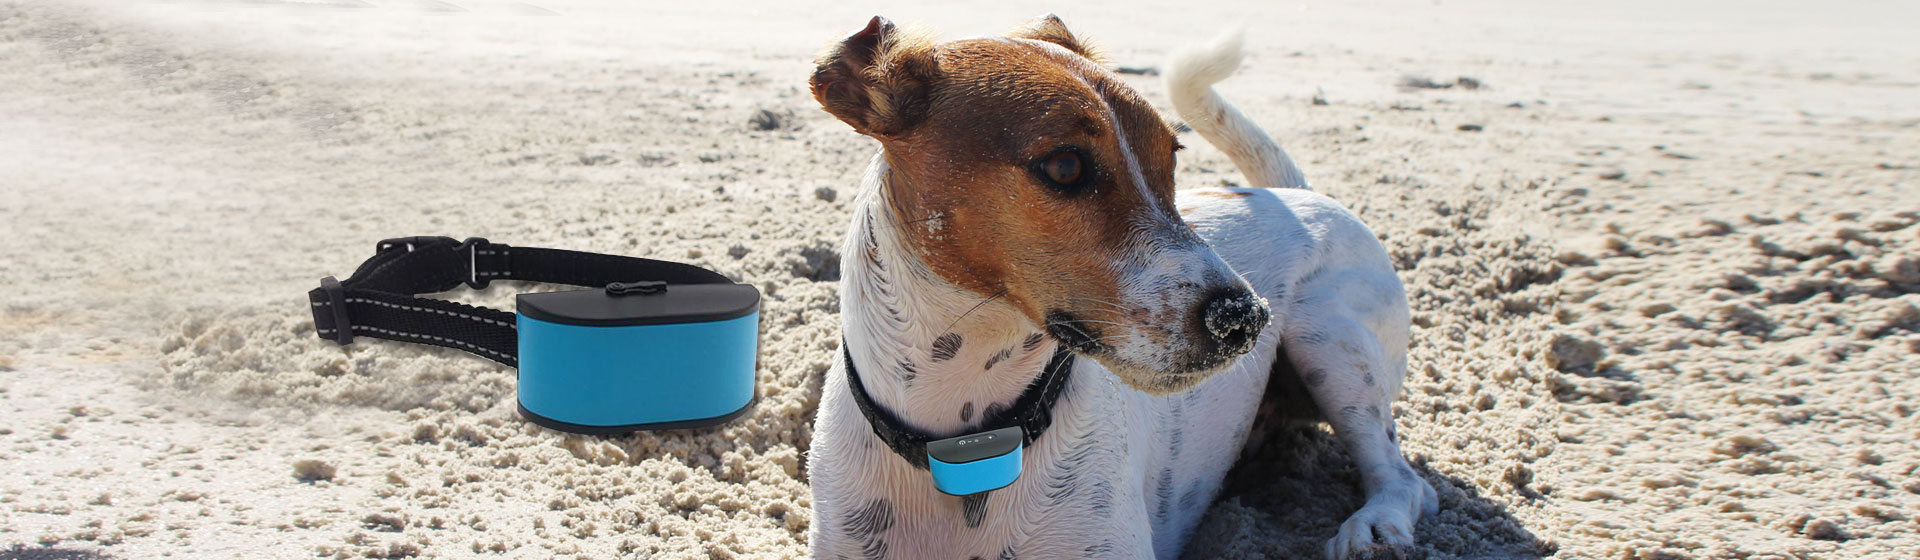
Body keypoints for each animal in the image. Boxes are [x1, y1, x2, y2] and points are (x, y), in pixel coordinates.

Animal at [804, 15, 1438, 559]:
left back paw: (1374, 526)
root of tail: (1303, 193)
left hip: (1331, 340)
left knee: (1403, 476)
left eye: (1172, 158)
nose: (1245, 318)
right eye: (1065, 166)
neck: (970, 437)